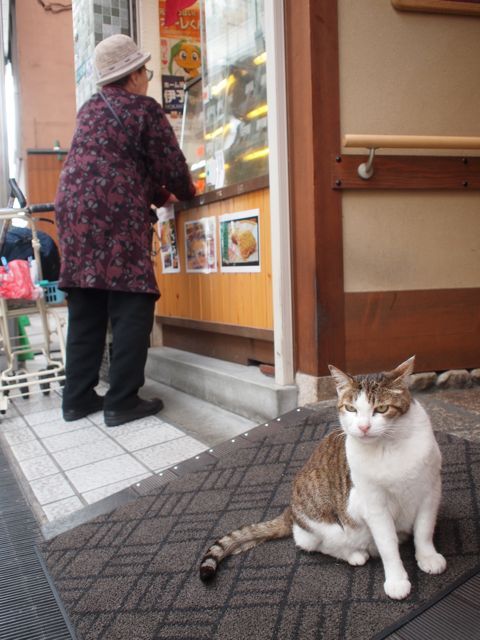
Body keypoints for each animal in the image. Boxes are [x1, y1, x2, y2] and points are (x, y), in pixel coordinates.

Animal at [200, 358, 446, 596]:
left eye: (382, 408)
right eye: (350, 408)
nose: (363, 427)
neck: (389, 447)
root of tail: (290, 511)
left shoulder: (430, 491)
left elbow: (424, 531)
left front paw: (428, 557)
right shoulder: (373, 504)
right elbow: (387, 543)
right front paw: (396, 580)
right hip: (324, 525)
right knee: (313, 543)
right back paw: (355, 554)